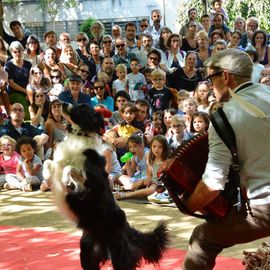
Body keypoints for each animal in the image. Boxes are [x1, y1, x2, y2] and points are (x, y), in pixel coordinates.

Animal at [43, 104, 170, 270]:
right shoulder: (57, 164)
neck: (79, 136)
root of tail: (127, 227)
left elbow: (70, 169)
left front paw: (67, 182)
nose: (62, 104)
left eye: (82, 108)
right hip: (88, 253)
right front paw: (47, 178)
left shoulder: (95, 182)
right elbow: (48, 163)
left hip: (118, 252)